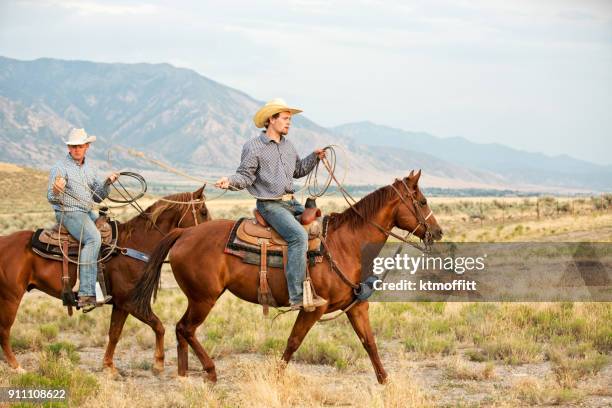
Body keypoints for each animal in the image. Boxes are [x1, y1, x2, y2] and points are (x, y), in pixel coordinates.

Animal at [0, 186, 210, 374]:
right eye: (203, 212)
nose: (209, 232)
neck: (134, 244)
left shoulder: (123, 304)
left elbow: (122, 332)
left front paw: (111, 365)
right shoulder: (128, 302)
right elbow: (150, 327)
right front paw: (154, 364)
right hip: (10, 297)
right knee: (4, 331)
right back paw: (17, 367)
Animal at [131, 171, 442, 384]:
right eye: (422, 200)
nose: (438, 232)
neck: (345, 245)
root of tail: (184, 233)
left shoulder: (357, 307)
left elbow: (370, 343)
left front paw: (385, 381)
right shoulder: (312, 309)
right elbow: (293, 342)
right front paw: (276, 377)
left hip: (200, 298)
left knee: (181, 330)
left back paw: (184, 374)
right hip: (203, 298)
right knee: (185, 328)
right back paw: (210, 371)